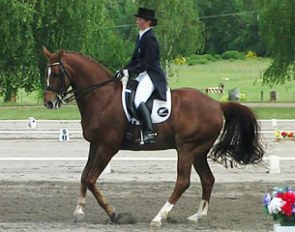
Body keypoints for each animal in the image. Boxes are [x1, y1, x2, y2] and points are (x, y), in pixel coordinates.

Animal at [42, 47, 264, 227]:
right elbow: (83, 176)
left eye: (56, 74)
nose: (48, 103)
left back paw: (159, 217)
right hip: (198, 152)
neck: (102, 97)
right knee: (207, 179)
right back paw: (197, 216)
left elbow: (90, 179)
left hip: (187, 148)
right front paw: (79, 211)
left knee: (183, 181)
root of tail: (217, 104)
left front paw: (115, 214)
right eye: (47, 73)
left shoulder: (107, 147)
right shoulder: (95, 145)